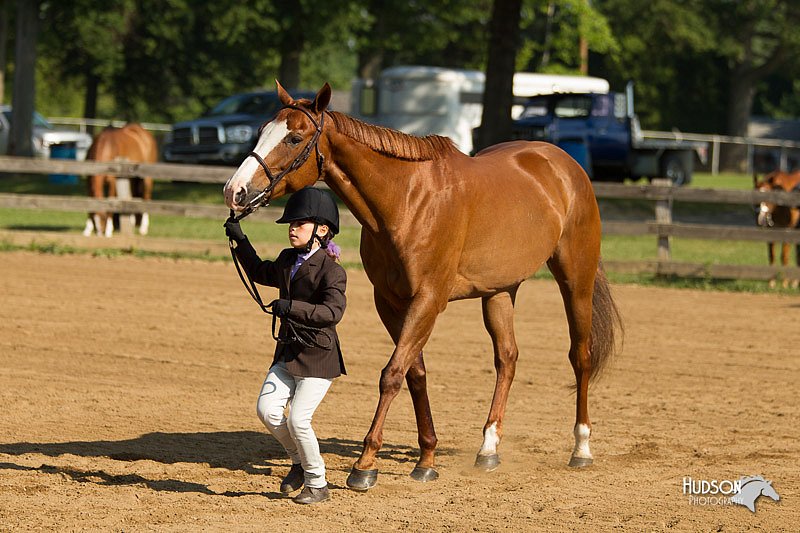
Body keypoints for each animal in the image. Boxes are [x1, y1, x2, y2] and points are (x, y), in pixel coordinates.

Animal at [220, 83, 624, 490]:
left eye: (294, 137)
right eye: (262, 130)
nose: (234, 191)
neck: (408, 201)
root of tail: (564, 165)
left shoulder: (428, 300)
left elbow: (392, 374)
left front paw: (365, 464)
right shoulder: (390, 302)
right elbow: (414, 374)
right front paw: (426, 457)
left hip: (575, 279)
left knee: (580, 356)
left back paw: (581, 448)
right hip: (499, 291)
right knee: (507, 358)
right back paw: (488, 449)